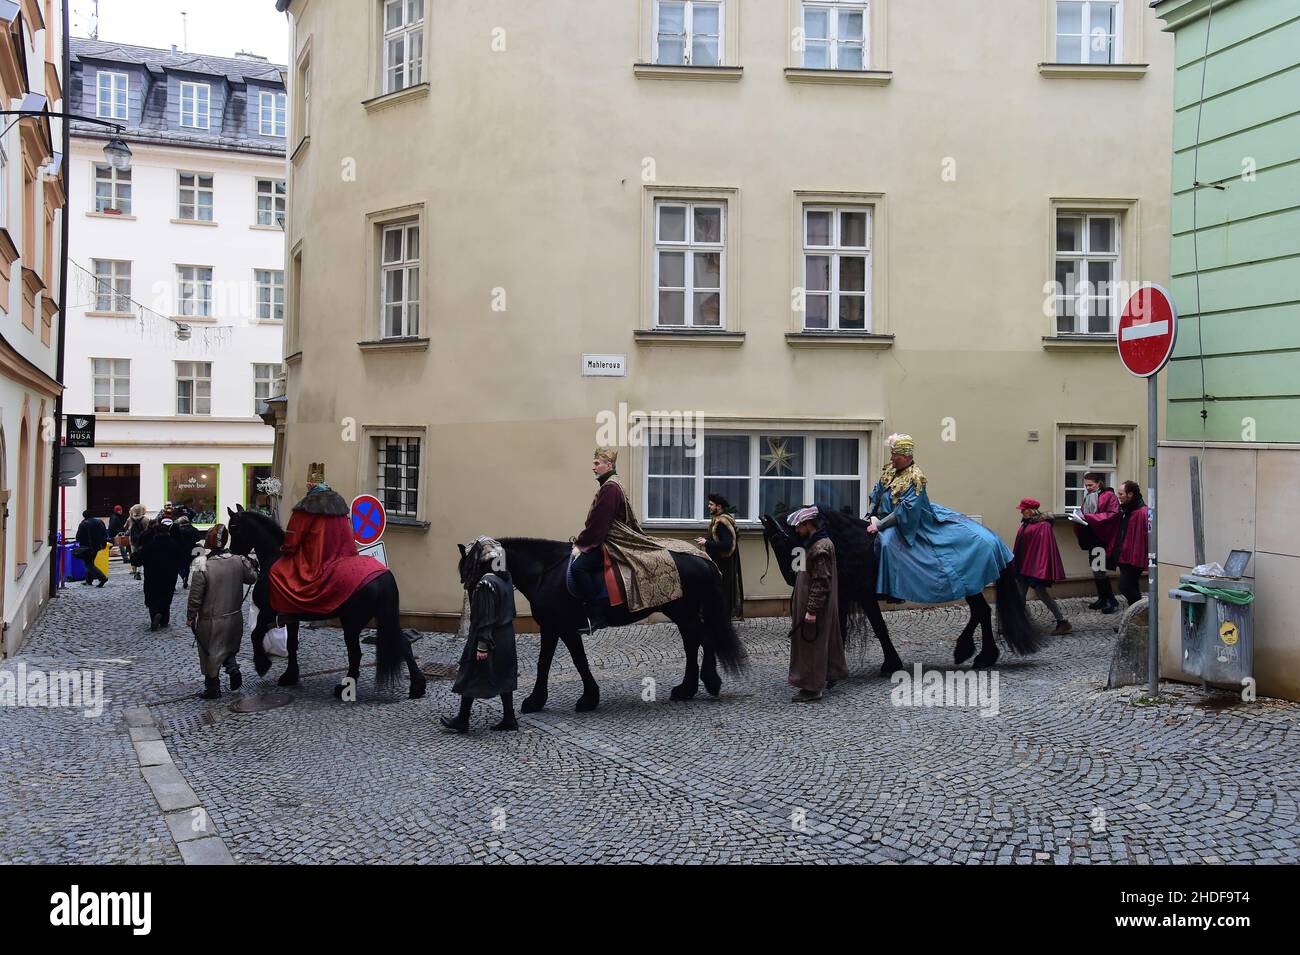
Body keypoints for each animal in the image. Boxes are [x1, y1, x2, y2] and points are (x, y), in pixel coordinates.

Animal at [224, 504, 426, 696]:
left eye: (233, 527)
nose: (232, 550)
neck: (275, 559)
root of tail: (382, 576)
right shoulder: (290, 617)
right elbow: (291, 645)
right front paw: (290, 676)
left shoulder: (268, 613)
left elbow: (255, 635)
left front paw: (262, 665)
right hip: (383, 617)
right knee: (403, 644)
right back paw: (417, 685)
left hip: (352, 623)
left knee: (356, 654)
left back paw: (344, 687)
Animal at [467, 537, 748, 712]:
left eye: (473, 567)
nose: (475, 605)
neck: (546, 572)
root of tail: (702, 558)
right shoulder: (555, 628)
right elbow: (554, 661)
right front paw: (548, 700)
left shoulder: (560, 627)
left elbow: (566, 661)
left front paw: (577, 699)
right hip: (683, 614)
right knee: (694, 643)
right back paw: (688, 688)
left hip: (684, 613)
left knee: (704, 640)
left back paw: (709, 682)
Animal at [759, 509, 1034, 670]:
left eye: (779, 541)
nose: (790, 578)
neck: (849, 543)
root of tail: (992, 537)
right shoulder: (847, 595)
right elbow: (849, 627)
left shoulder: (862, 595)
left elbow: (877, 628)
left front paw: (890, 663)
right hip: (972, 586)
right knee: (982, 612)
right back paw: (979, 654)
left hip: (971, 584)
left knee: (982, 612)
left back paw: (974, 652)